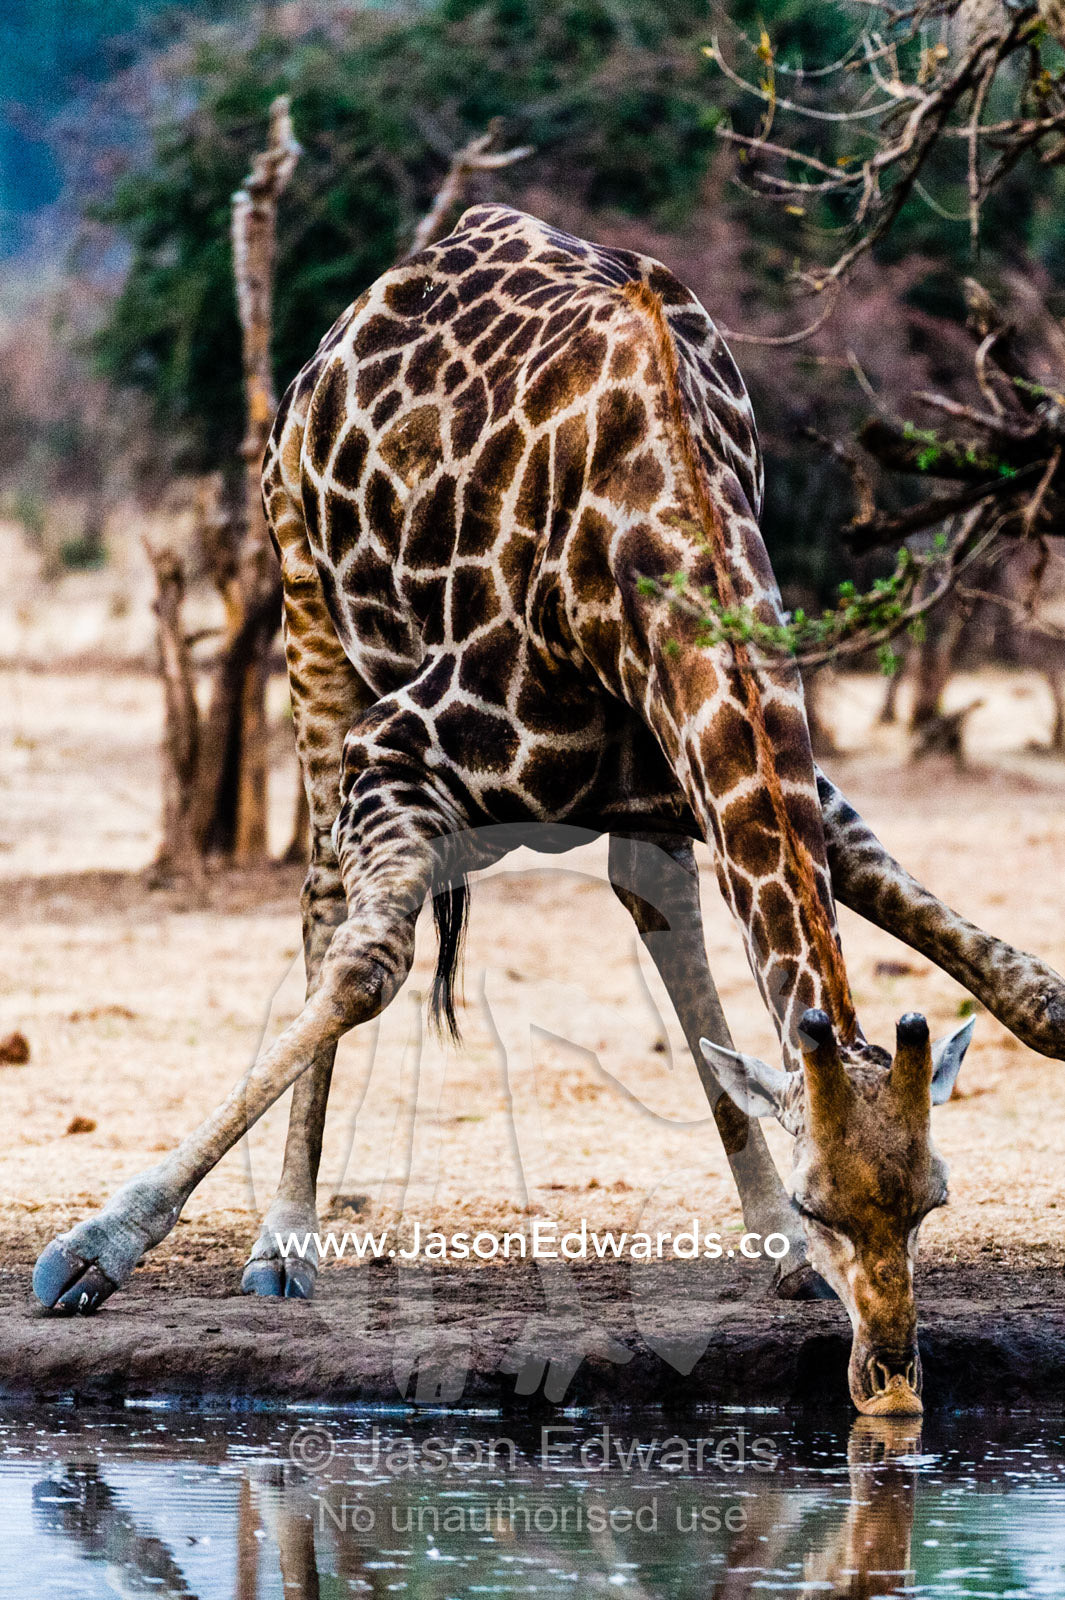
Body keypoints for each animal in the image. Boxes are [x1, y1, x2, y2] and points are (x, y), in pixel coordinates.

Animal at [34, 202, 1063, 1417]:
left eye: (934, 1197)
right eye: (826, 1201)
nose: (893, 1385)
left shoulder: (719, 762)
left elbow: (1009, 979)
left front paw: (788, 1246)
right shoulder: (403, 745)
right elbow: (366, 967)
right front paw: (96, 1247)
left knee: (655, 909)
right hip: (304, 603)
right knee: (326, 899)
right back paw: (283, 1242)